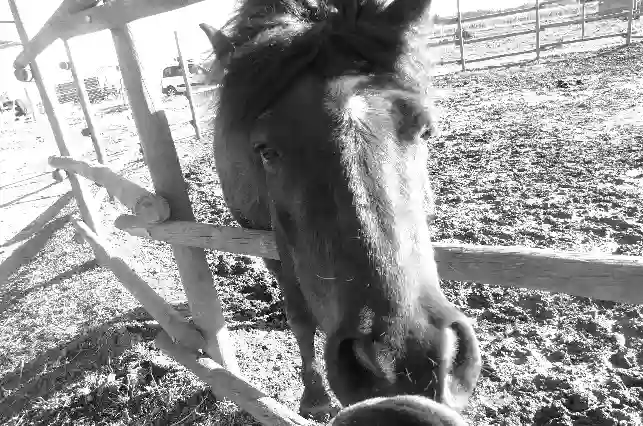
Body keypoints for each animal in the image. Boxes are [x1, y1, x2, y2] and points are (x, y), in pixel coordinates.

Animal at [200, 0, 478, 420]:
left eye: (426, 128)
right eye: (266, 150)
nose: (404, 361)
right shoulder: (270, 247)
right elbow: (300, 319)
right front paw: (313, 397)